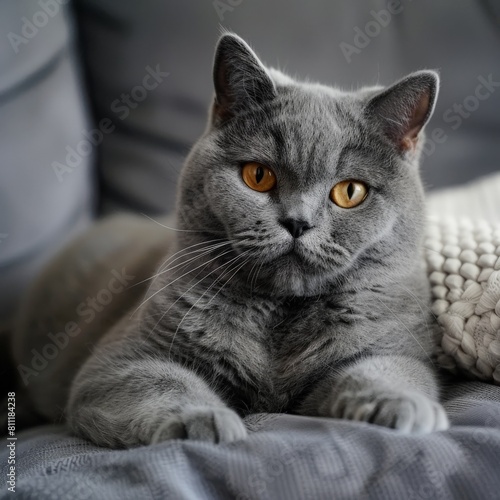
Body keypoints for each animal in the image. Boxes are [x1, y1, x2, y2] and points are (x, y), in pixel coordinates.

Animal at [11, 34, 450, 450]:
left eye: (350, 192)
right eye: (258, 176)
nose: (298, 222)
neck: (279, 317)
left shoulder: (390, 346)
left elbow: (385, 371)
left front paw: (404, 405)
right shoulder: (119, 360)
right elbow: (163, 381)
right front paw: (203, 419)